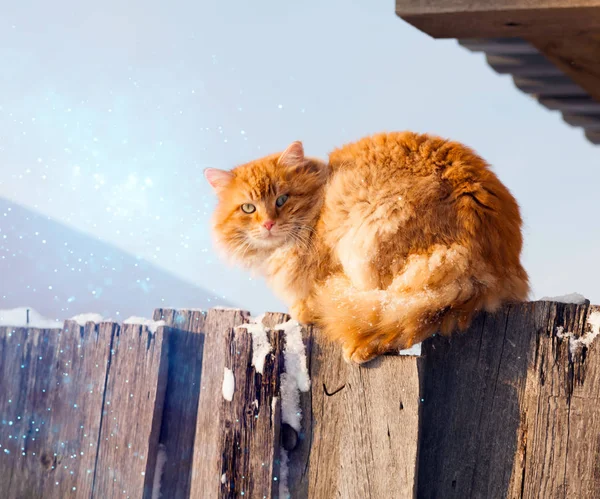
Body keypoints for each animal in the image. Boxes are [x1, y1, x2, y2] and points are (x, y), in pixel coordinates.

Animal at [206, 133, 528, 364]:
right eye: (248, 208)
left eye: (282, 199)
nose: (269, 223)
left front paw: (304, 308)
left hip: (374, 242)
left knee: (392, 317)